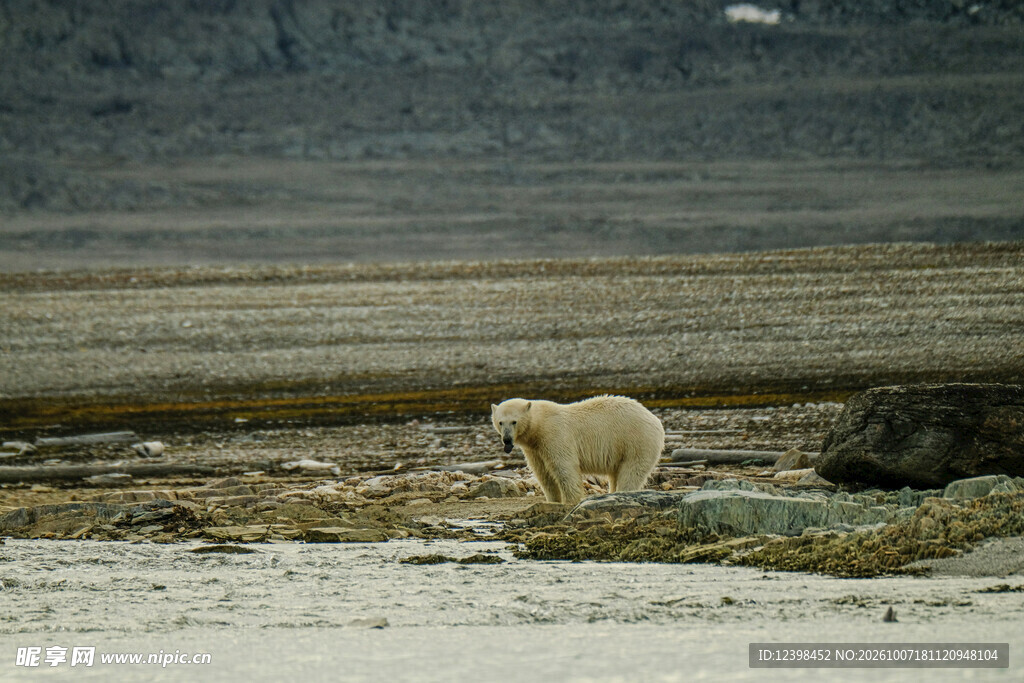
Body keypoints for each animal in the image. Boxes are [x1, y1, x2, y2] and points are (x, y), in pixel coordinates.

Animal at [490, 395, 665, 506]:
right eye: (500, 422)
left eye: (514, 421)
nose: (507, 440)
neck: (539, 425)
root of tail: (655, 420)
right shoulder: (534, 448)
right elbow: (543, 473)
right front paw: (553, 500)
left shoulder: (555, 435)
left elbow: (563, 467)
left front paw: (571, 501)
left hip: (636, 440)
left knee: (632, 471)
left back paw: (622, 493)